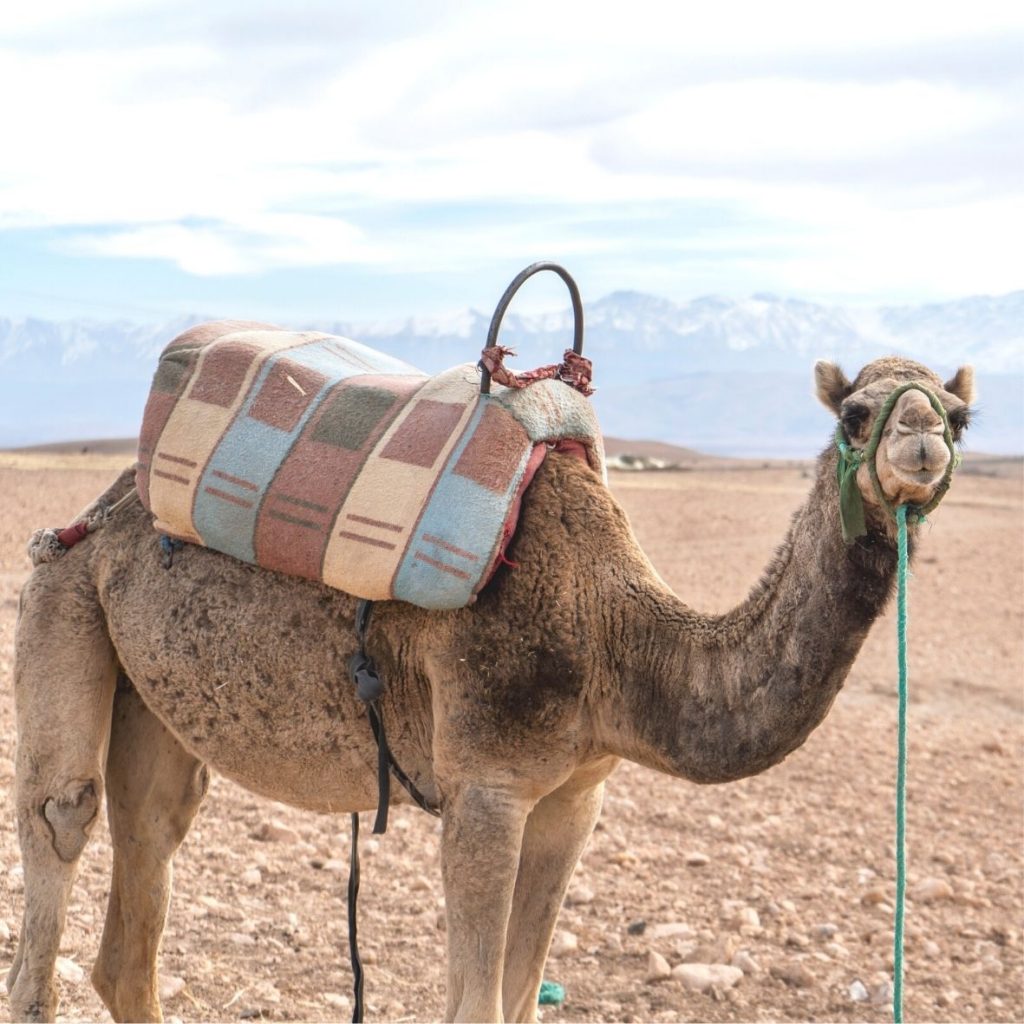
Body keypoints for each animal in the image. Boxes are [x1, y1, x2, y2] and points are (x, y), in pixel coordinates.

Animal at [4, 348, 970, 1019]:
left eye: (963, 414)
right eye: (856, 413)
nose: (920, 440)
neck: (614, 630)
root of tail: (103, 507)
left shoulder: (575, 796)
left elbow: (518, 999)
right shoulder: (485, 786)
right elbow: (473, 1004)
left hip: (155, 701)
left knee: (148, 863)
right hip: (59, 590)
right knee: (63, 815)